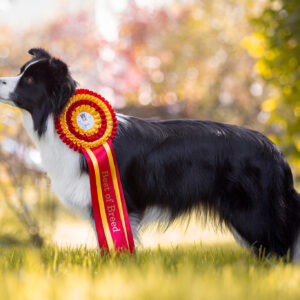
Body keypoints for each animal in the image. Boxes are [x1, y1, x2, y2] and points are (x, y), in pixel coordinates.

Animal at [0, 48, 300, 260]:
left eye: (28, 79)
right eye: (21, 72)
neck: (57, 117)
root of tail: (275, 150)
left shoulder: (122, 203)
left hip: (252, 210)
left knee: (280, 248)